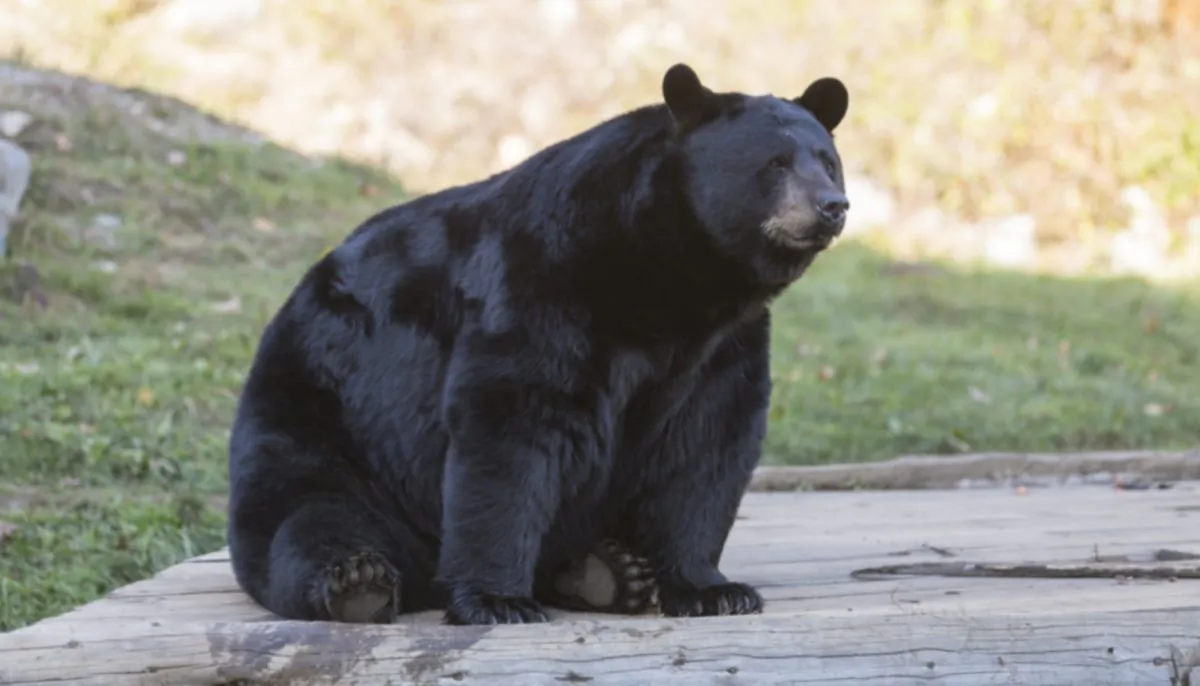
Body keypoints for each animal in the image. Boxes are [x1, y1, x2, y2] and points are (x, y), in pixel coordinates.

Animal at [225, 62, 851, 626]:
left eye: (828, 162)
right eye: (774, 163)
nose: (833, 206)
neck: (668, 276)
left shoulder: (722, 344)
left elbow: (706, 445)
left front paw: (712, 589)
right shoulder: (542, 281)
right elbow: (512, 425)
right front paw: (497, 600)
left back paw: (609, 572)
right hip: (325, 418)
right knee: (308, 516)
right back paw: (359, 582)